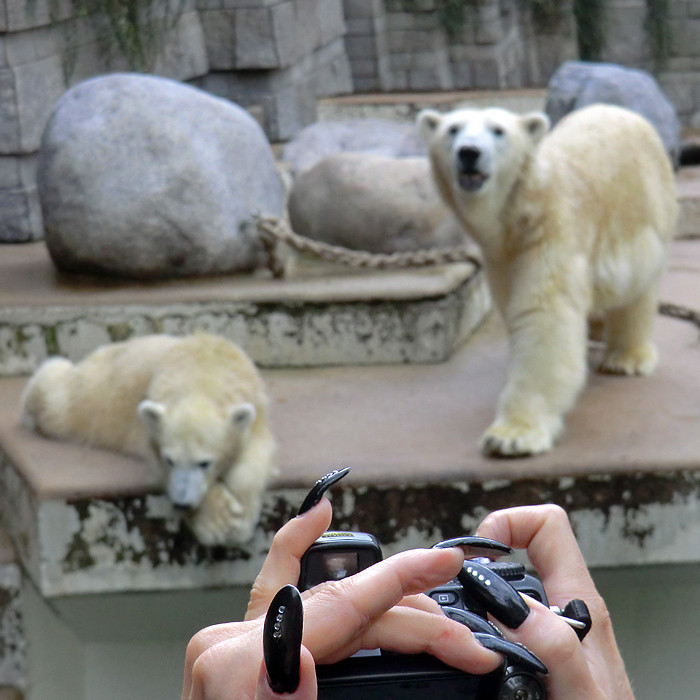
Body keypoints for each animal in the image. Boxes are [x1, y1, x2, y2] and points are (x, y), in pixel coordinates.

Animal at [19, 330, 276, 544]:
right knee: (56, 398)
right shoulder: (148, 430)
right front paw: (218, 522)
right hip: (92, 397)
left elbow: (255, 457)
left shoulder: (256, 409)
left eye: (204, 463)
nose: (181, 503)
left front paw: (240, 519)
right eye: (170, 460)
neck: (204, 371)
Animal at [418, 101, 676, 456]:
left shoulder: (552, 231)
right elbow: (517, 309)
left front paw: (511, 435)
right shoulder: (501, 257)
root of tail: (621, 111)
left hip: (645, 207)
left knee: (636, 288)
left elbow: (544, 315)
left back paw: (626, 358)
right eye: (452, 129)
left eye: (498, 130)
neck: (518, 212)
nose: (468, 152)